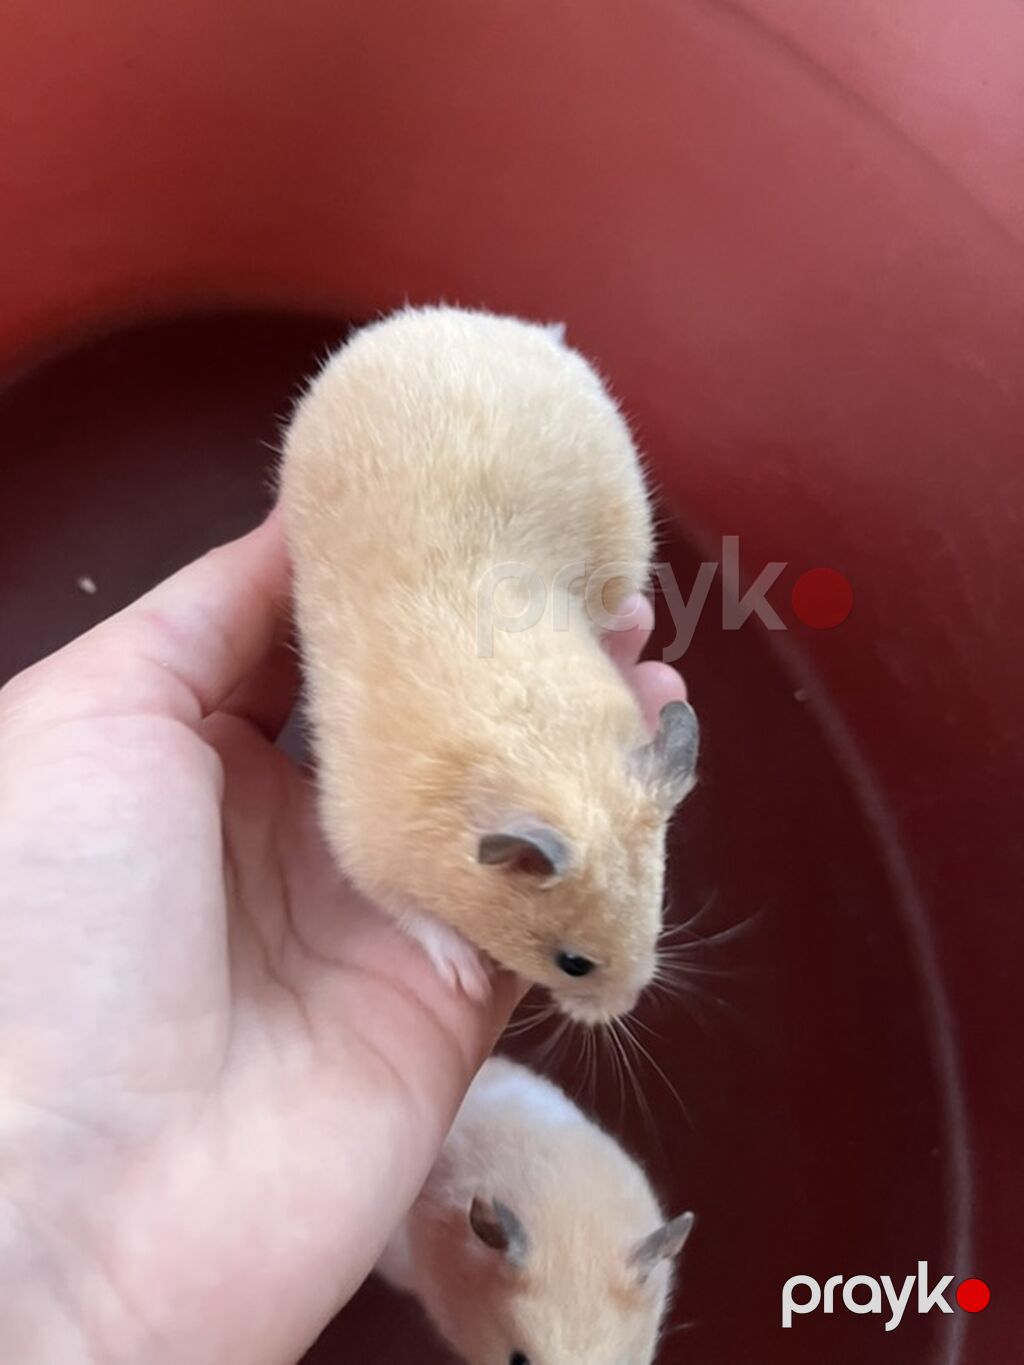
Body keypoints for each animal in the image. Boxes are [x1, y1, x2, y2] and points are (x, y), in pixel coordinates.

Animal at [279, 306, 699, 1023]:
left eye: (658, 912)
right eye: (572, 962)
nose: (619, 1010)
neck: (537, 753)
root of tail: (519, 331)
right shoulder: (359, 844)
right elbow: (413, 916)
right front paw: (467, 978)